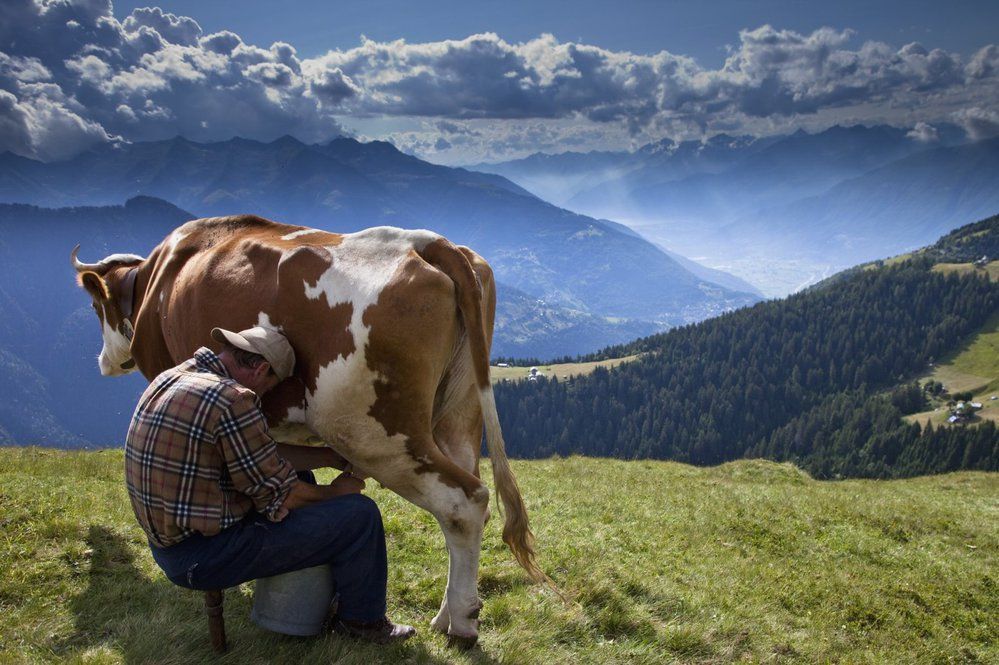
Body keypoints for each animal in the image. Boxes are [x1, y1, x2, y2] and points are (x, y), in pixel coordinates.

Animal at [72, 215, 548, 644]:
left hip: (373, 431)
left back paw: (462, 624)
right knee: (472, 501)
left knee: (463, 502)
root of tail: (426, 242)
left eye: (96, 307)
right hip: (458, 413)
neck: (157, 280)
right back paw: (447, 615)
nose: (103, 361)